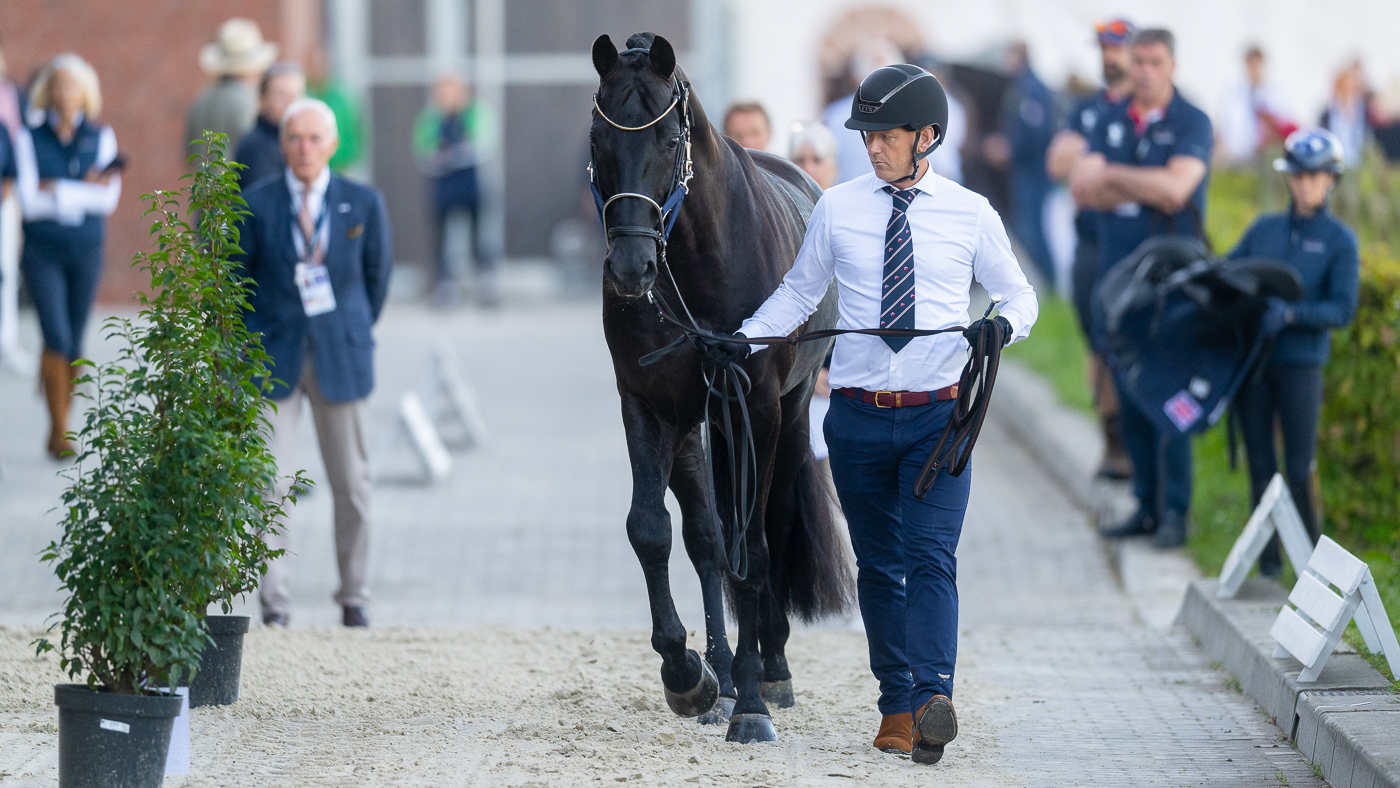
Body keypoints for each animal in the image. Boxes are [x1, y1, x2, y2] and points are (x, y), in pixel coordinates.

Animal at [590, 32, 851, 744]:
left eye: (667, 140)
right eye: (599, 137)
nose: (630, 267)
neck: (697, 262)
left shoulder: (754, 404)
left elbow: (756, 550)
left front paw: (754, 706)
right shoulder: (648, 405)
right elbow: (653, 530)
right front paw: (689, 676)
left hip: (785, 417)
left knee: (769, 529)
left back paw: (768, 674)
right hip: (697, 425)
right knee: (708, 538)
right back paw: (724, 680)